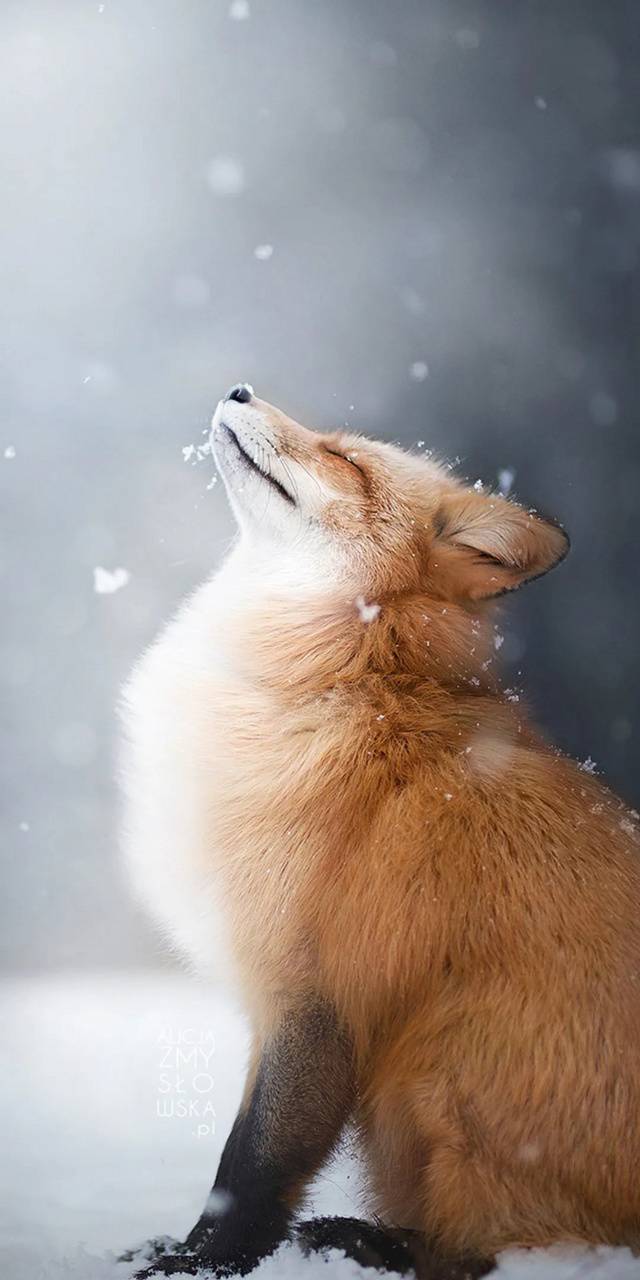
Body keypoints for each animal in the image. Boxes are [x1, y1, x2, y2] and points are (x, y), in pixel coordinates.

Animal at [121, 383, 640, 1279]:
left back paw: (366, 1241)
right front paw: (183, 1252)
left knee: (487, 1254)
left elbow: (250, 1165)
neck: (346, 673)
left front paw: (203, 1263)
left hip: (432, 1065)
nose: (240, 389)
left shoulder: (313, 994)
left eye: (345, 459)